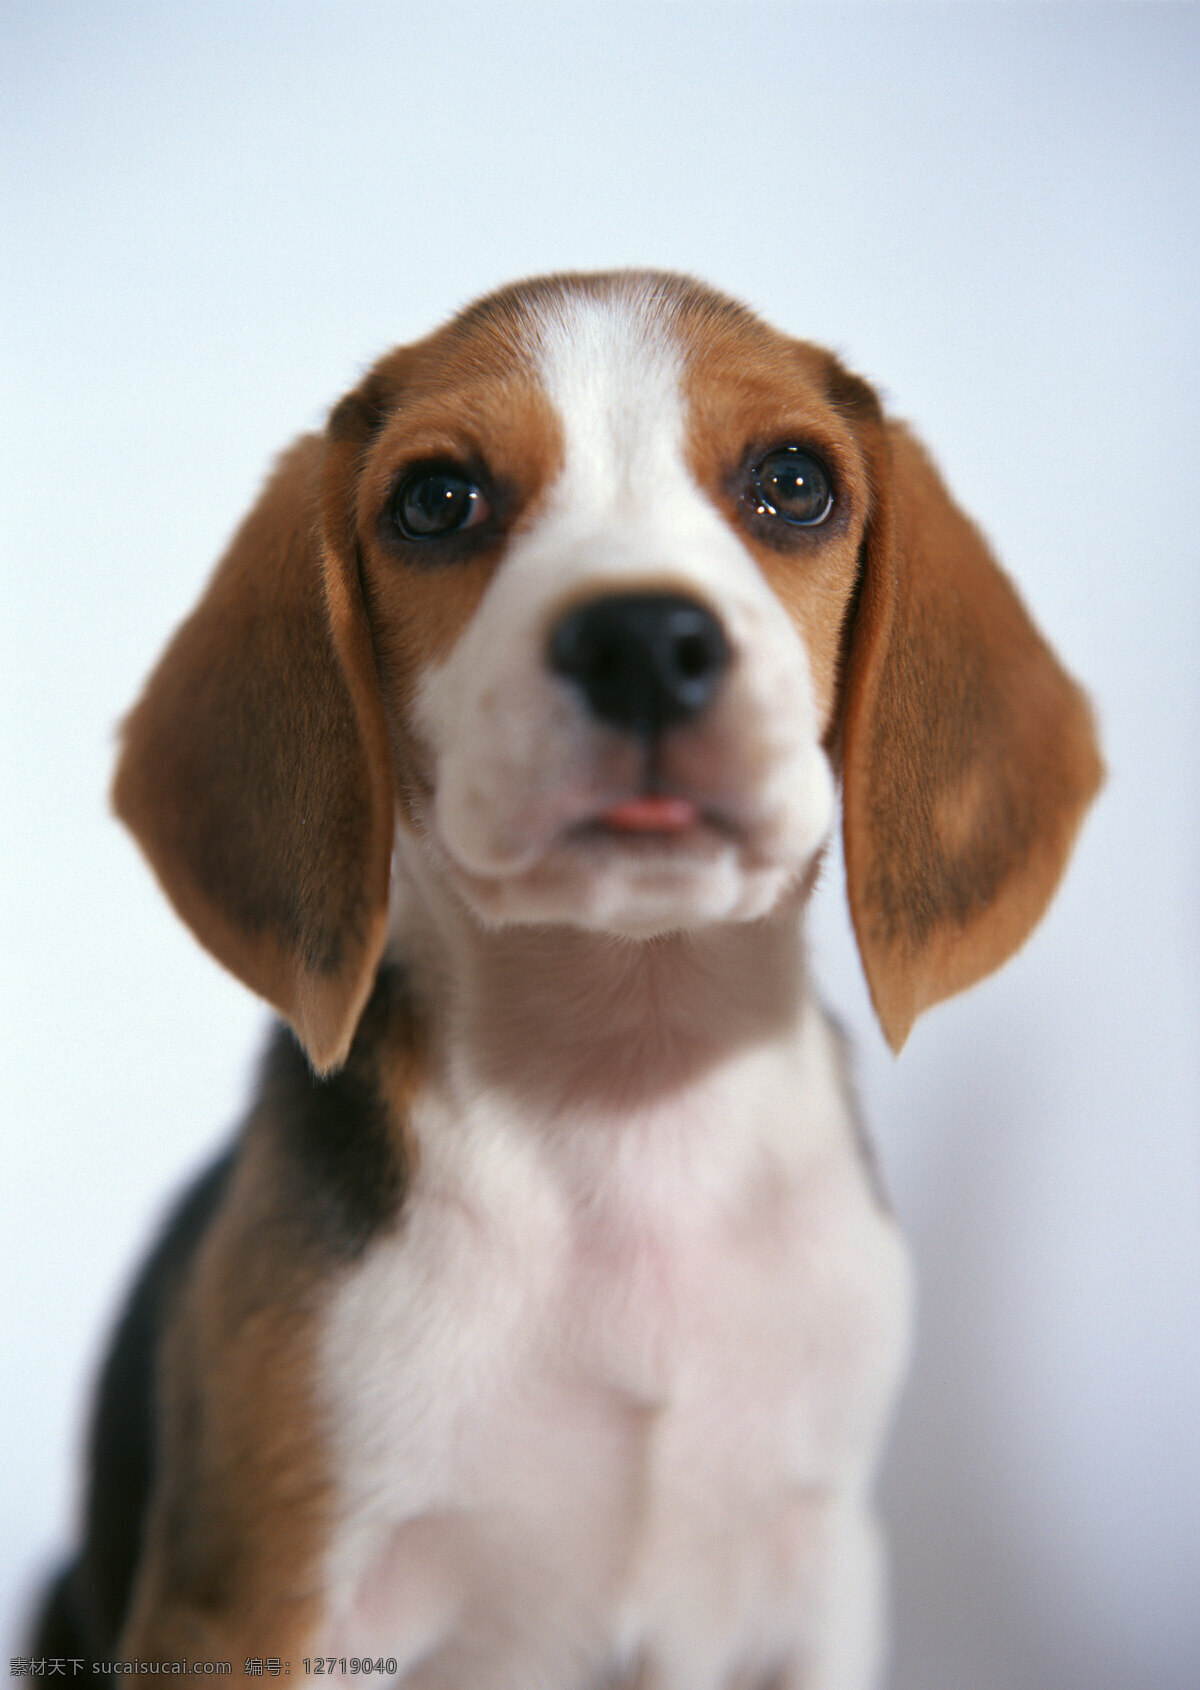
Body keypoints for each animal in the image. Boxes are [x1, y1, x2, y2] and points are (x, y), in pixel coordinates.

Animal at [35, 270, 1108, 1683]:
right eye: (437, 500)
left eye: (795, 483)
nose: (643, 640)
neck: (627, 1076)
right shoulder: (250, 1599)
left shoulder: (821, 1566)